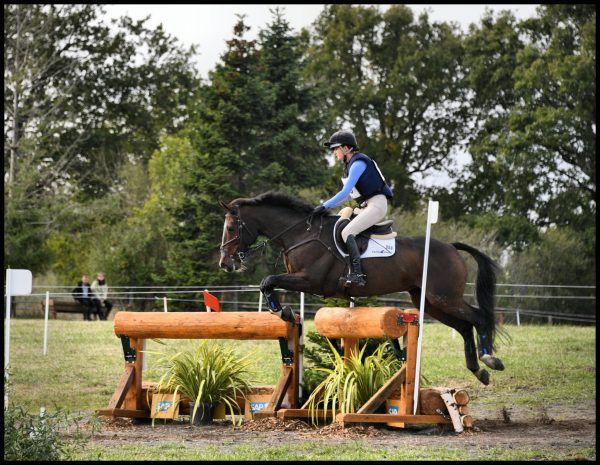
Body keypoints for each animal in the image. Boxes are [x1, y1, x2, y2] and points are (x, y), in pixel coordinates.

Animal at [218, 190, 504, 382]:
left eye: (231, 227)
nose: (225, 263)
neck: (300, 234)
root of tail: (451, 247)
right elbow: (268, 284)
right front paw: (284, 312)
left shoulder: (311, 280)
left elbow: (267, 281)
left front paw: (282, 311)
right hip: (428, 301)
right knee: (464, 326)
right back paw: (478, 370)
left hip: (444, 297)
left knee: (478, 317)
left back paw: (489, 359)